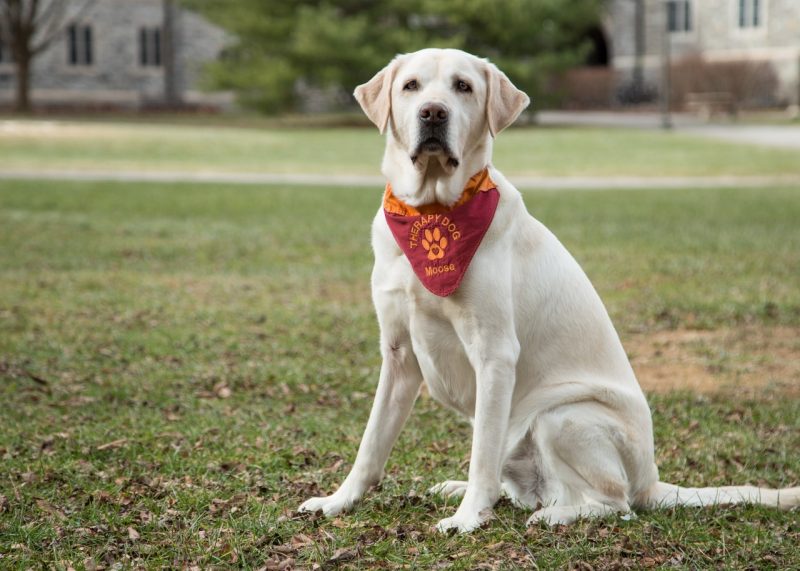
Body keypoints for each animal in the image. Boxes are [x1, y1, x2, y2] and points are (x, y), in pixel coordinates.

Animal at [298, 48, 792, 532]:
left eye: (463, 86)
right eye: (411, 86)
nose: (433, 113)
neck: (433, 209)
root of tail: (651, 480)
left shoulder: (495, 353)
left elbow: (481, 455)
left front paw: (468, 518)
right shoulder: (399, 354)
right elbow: (371, 443)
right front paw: (338, 500)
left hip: (563, 415)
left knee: (614, 503)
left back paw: (554, 514)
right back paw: (470, 491)